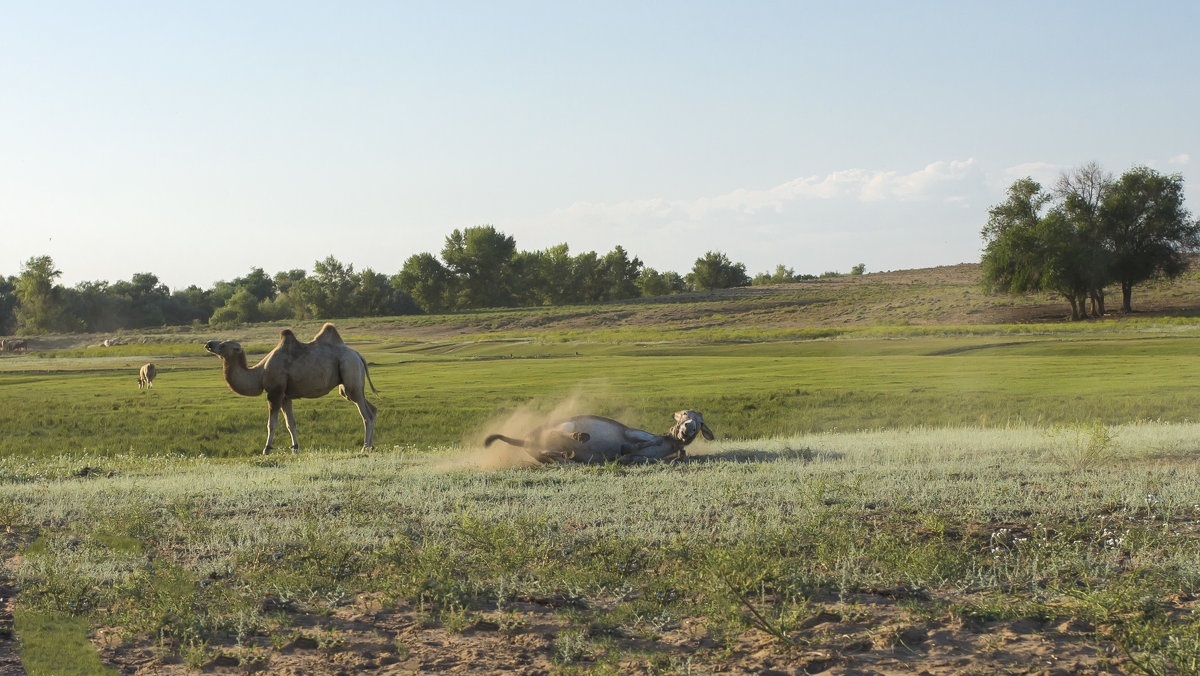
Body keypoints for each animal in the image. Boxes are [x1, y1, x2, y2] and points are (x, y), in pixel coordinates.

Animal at [201, 324, 379, 453]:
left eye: (223, 344)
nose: (209, 343)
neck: (259, 373)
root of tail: (358, 355)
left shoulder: (275, 393)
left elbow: (271, 424)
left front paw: (266, 449)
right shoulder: (285, 396)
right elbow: (290, 423)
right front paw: (295, 449)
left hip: (349, 370)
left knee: (366, 415)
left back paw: (364, 447)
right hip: (348, 386)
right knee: (371, 408)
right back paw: (370, 446)